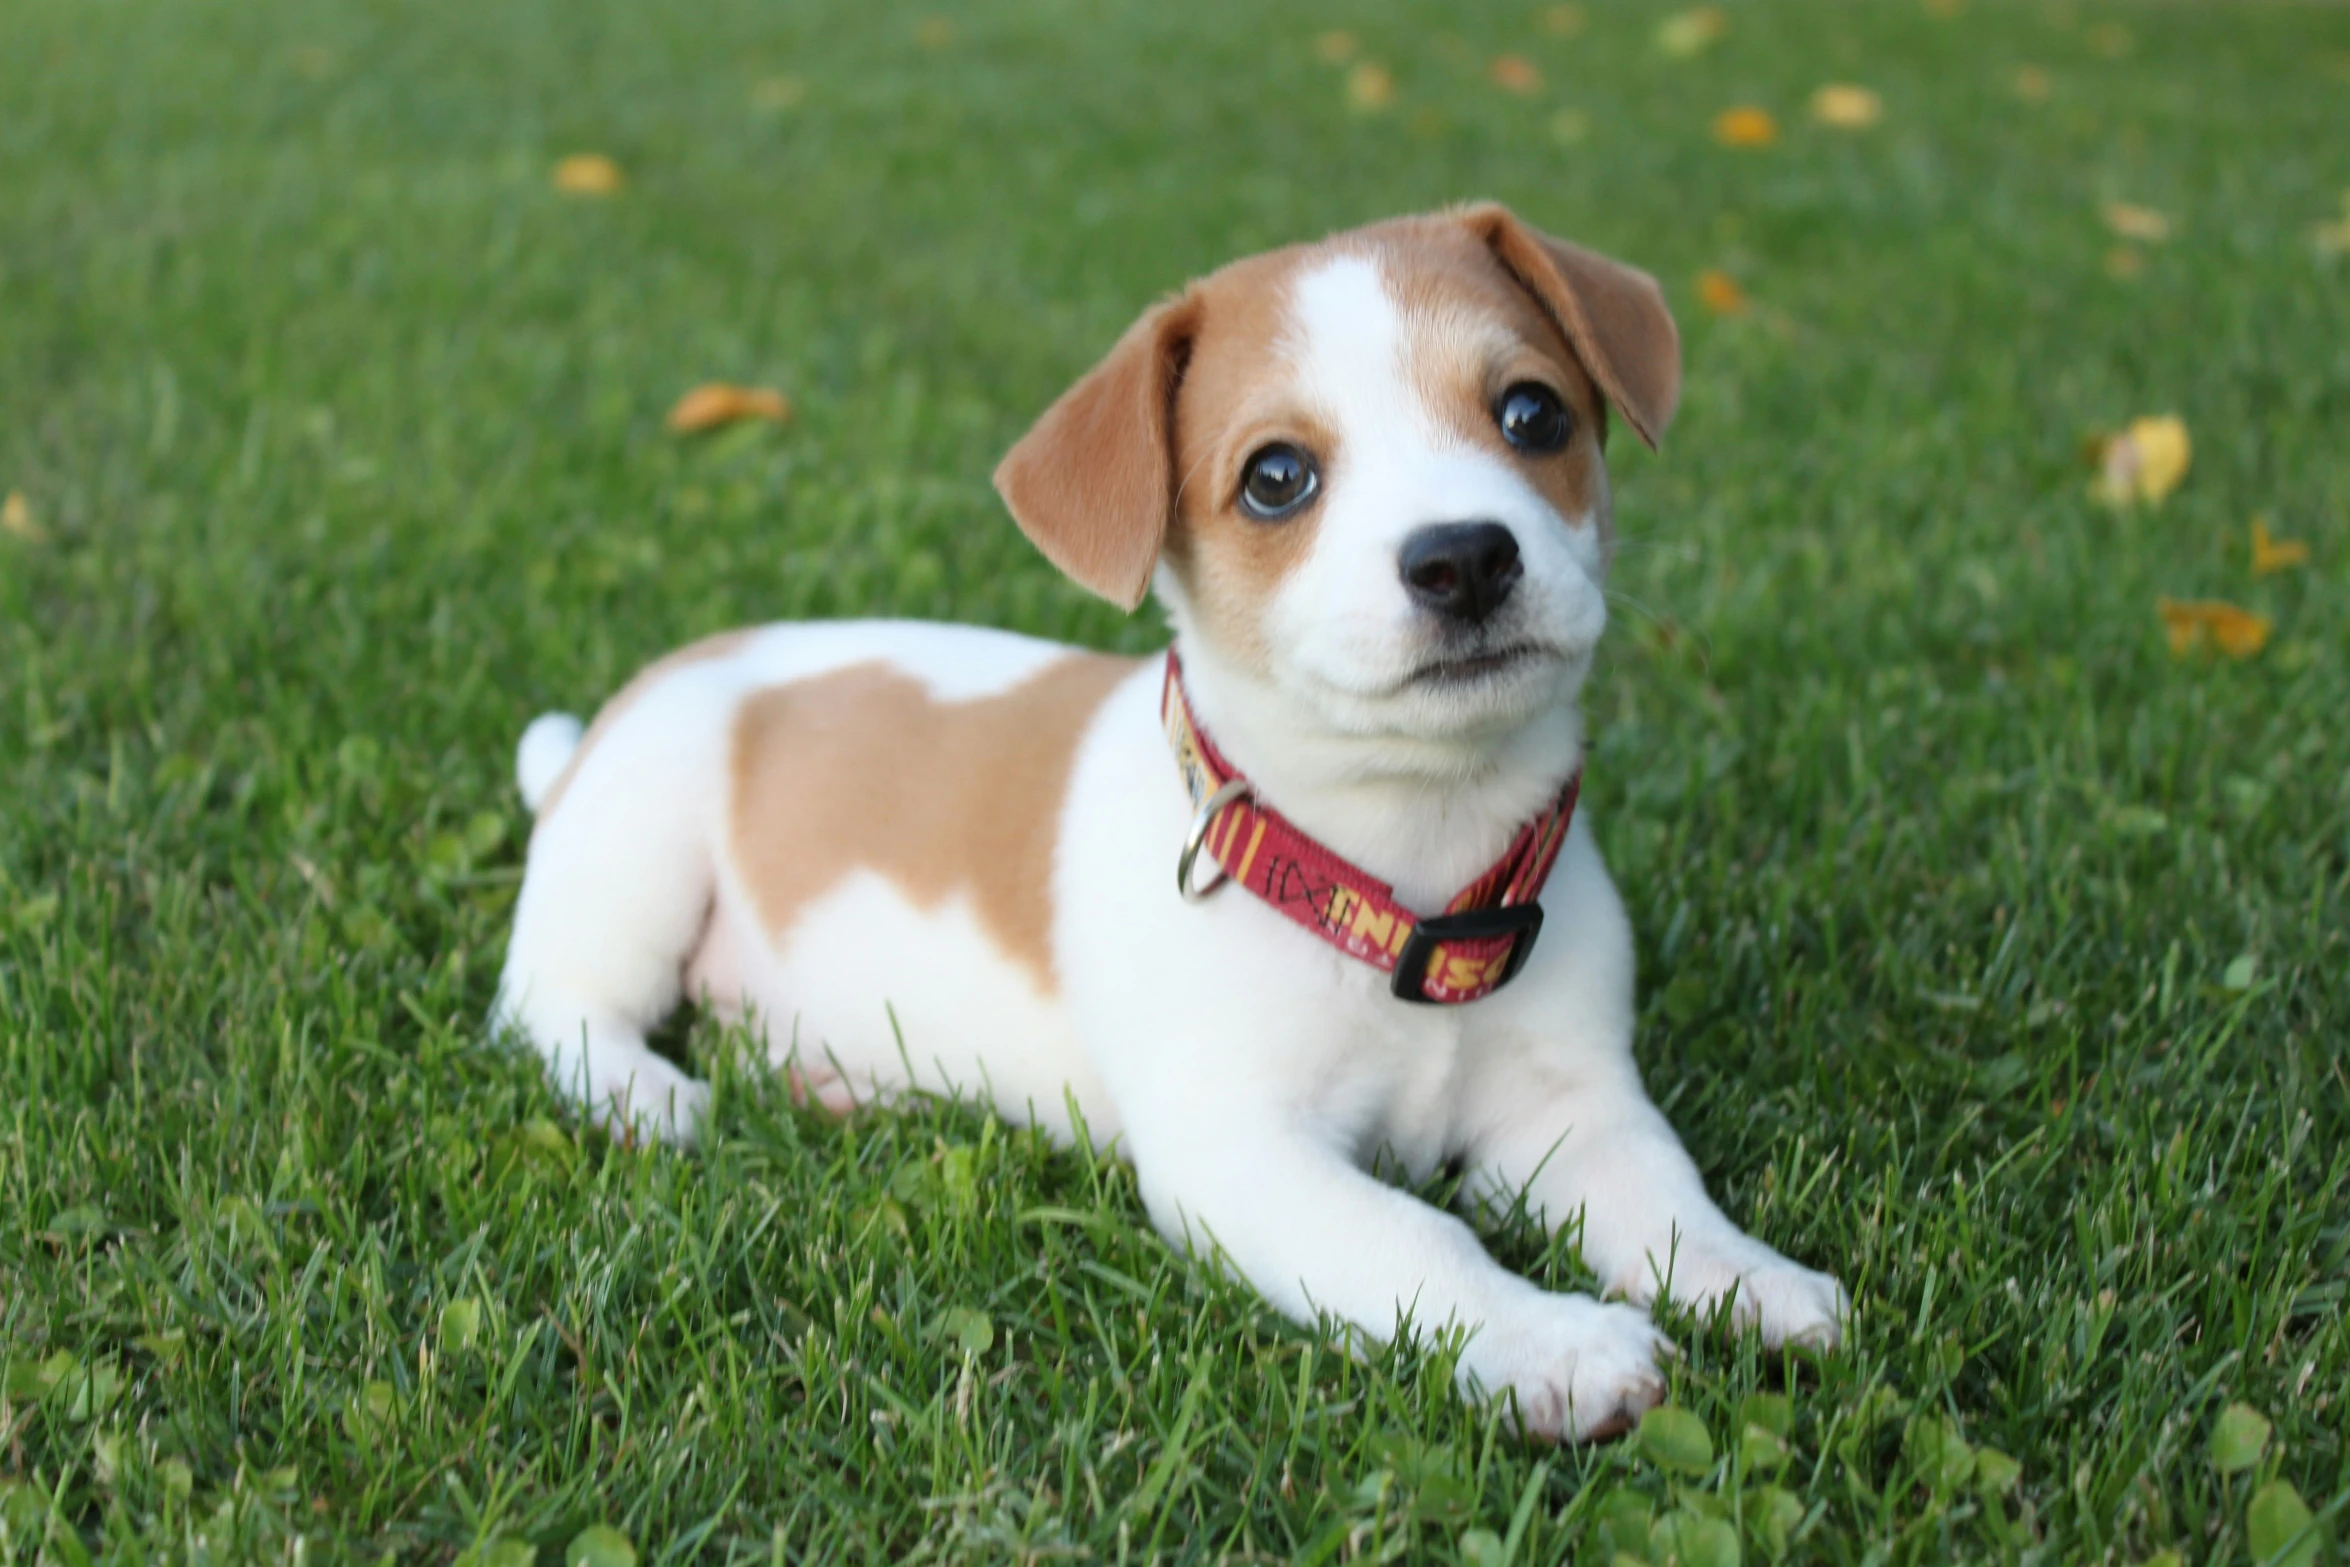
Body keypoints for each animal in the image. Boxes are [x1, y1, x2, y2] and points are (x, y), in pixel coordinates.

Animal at [500, 207, 1851, 1447]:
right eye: (1276, 477)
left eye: (1531, 414)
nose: (1465, 557)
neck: (1397, 873)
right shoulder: (1240, 1154)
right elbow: (1417, 1238)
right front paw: (1553, 1344)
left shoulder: (1568, 1105)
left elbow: (1657, 1189)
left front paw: (1749, 1278)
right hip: (638, 849)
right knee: (549, 1002)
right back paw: (642, 1089)